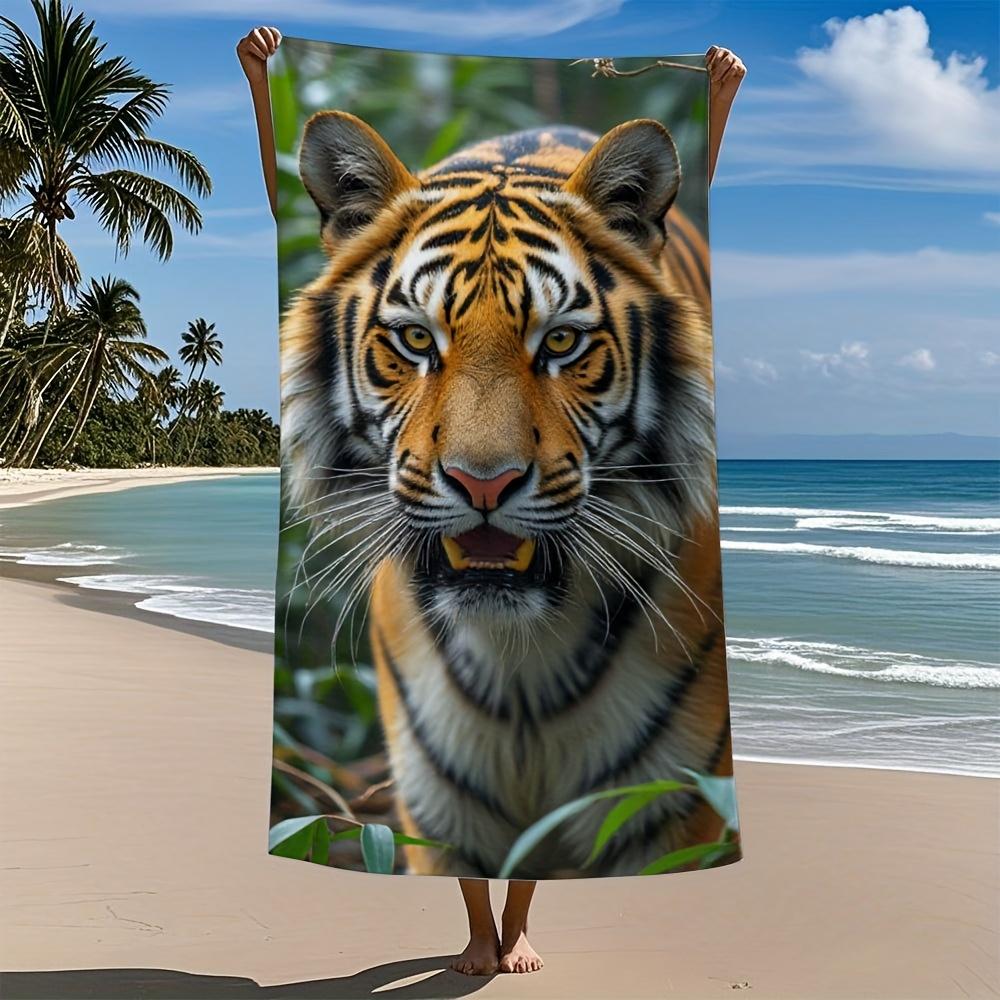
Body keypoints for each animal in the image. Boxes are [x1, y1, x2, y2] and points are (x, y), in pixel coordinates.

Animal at [279, 110, 738, 878]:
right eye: (415, 340)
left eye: (559, 343)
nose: (482, 481)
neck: (520, 656)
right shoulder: (439, 823)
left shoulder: (672, 809)